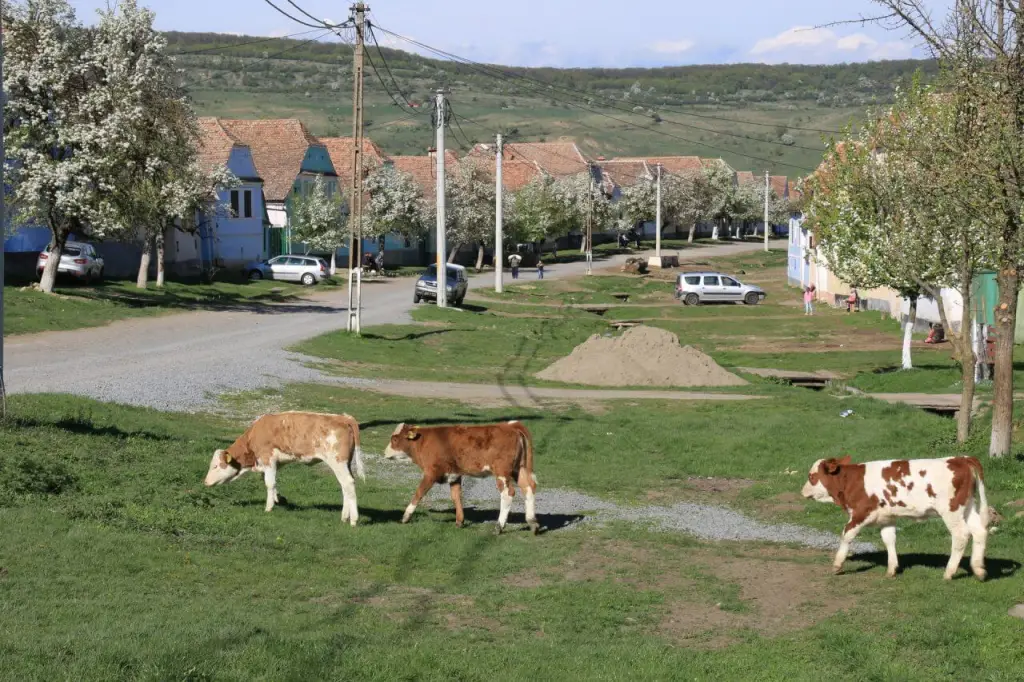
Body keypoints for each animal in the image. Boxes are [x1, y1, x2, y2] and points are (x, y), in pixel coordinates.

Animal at [201, 409, 366, 524]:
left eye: (216, 466)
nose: (206, 482)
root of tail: (344, 418)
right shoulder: (274, 463)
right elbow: (271, 482)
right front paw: (278, 499)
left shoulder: (268, 459)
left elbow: (269, 483)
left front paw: (269, 507)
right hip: (345, 463)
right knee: (345, 487)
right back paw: (344, 517)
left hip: (337, 462)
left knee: (348, 484)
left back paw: (353, 520)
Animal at [385, 417, 540, 532]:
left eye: (394, 439)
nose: (385, 452)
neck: (424, 441)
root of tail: (510, 426)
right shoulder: (454, 475)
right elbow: (456, 496)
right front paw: (460, 521)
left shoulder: (431, 473)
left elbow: (419, 493)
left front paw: (405, 517)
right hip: (519, 469)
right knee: (529, 487)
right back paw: (532, 523)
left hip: (502, 472)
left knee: (508, 493)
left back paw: (499, 526)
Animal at [802, 454, 987, 577]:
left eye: (812, 477)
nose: (802, 491)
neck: (852, 481)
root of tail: (961, 458)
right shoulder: (887, 517)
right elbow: (889, 539)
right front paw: (892, 569)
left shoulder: (861, 513)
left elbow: (846, 534)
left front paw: (837, 564)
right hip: (968, 507)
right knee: (980, 532)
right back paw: (978, 569)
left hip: (951, 510)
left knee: (961, 535)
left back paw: (949, 572)